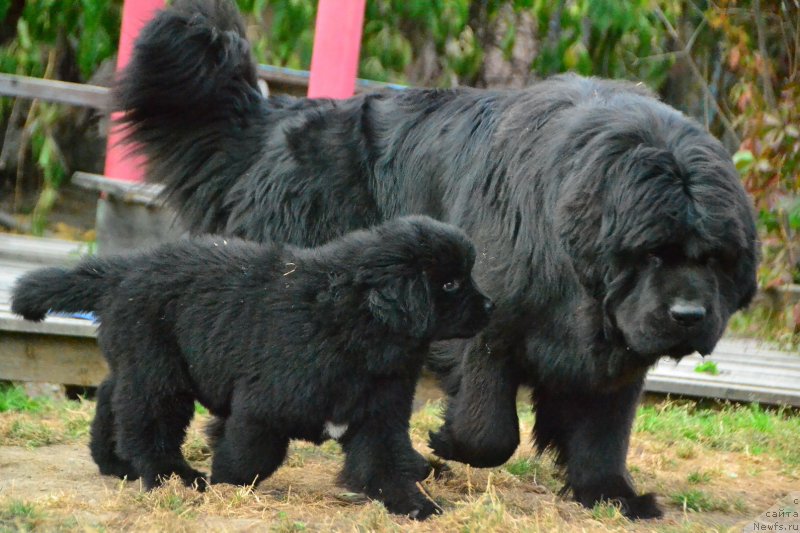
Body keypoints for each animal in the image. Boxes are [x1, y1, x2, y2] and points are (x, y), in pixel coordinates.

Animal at [12, 214, 494, 516]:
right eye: (450, 284)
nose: (492, 306)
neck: (350, 322)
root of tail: (124, 269)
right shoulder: (264, 408)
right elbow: (249, 457)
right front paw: (225, 486)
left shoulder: (378, 416)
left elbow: (385, 466)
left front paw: (417, 506)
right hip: (160, 373)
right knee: (147, 424)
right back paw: (176, 477)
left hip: (144, 361)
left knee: (113, 397)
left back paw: (114, 463)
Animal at [114, 0, 756, 516]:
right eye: (652, 254)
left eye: (717, 260)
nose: (689, 316)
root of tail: (276, 122)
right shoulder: (490, 324)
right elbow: (490, 431)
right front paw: (448, 447)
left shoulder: (614, 352)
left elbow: (604, 432)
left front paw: (613, 496)